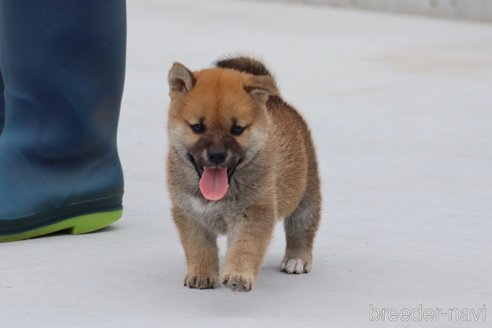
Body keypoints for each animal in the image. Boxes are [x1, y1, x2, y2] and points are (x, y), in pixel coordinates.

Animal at [166, 56, 320, 292]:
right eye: (198, 127)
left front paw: (238, 274)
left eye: (237, 129)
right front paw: (202, 274)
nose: (217, 155)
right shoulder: (189, 215)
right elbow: (199, 248)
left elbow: (245, 248)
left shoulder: (254, 214)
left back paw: (296, 259)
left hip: (306, 197)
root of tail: (277, 100)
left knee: (301, 229)